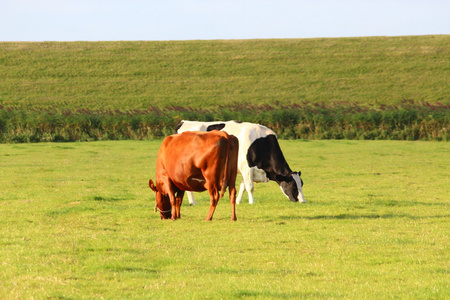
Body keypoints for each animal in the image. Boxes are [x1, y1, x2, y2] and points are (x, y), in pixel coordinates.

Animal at [175, 120, 306, 205]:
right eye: (293, 185)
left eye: (302, 184)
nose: (303, 201)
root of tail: (184, 122)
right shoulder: (246, 167)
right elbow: (250, 186)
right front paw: (252, 202)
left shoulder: (246, 170)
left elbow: (243, 185)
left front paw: (238, 201)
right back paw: (193, 202)